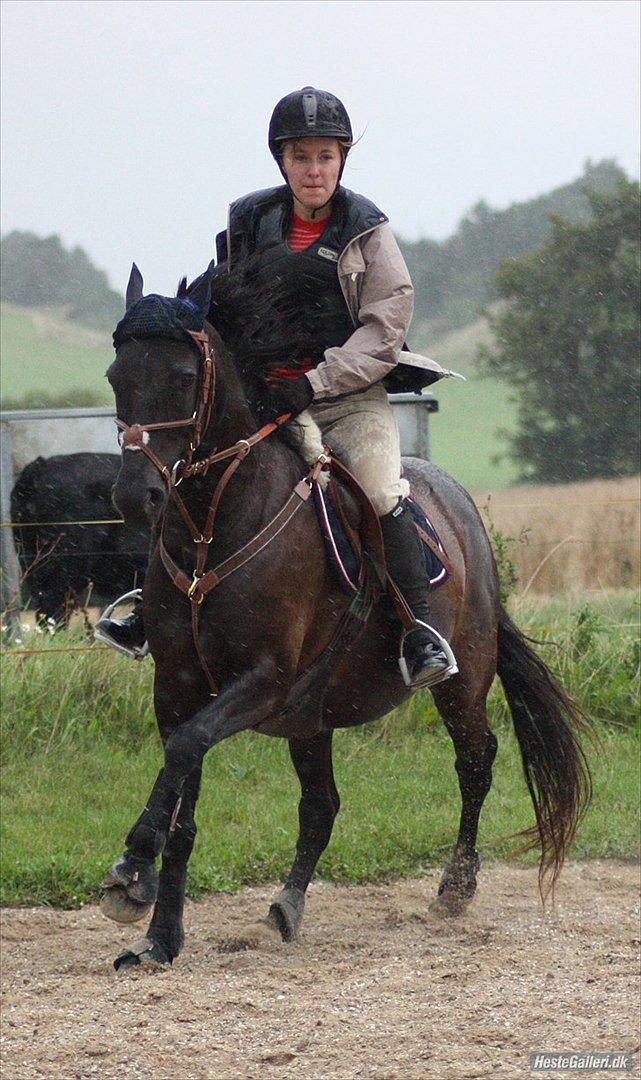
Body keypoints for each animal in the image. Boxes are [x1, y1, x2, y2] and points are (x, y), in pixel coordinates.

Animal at [98, 263, 587, 972]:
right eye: (117, 376)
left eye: (184, 378)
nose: (137, 496)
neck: (216, 523)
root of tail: (459, 502)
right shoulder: (179, 687)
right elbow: (182, 799)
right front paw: (159, 933)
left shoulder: (262, 680)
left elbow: (186, 751)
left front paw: (133, 868)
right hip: (311, 714)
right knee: (321, 805)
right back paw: (288, 905)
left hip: (460, 681)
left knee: (475, 761)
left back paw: (454, 889)